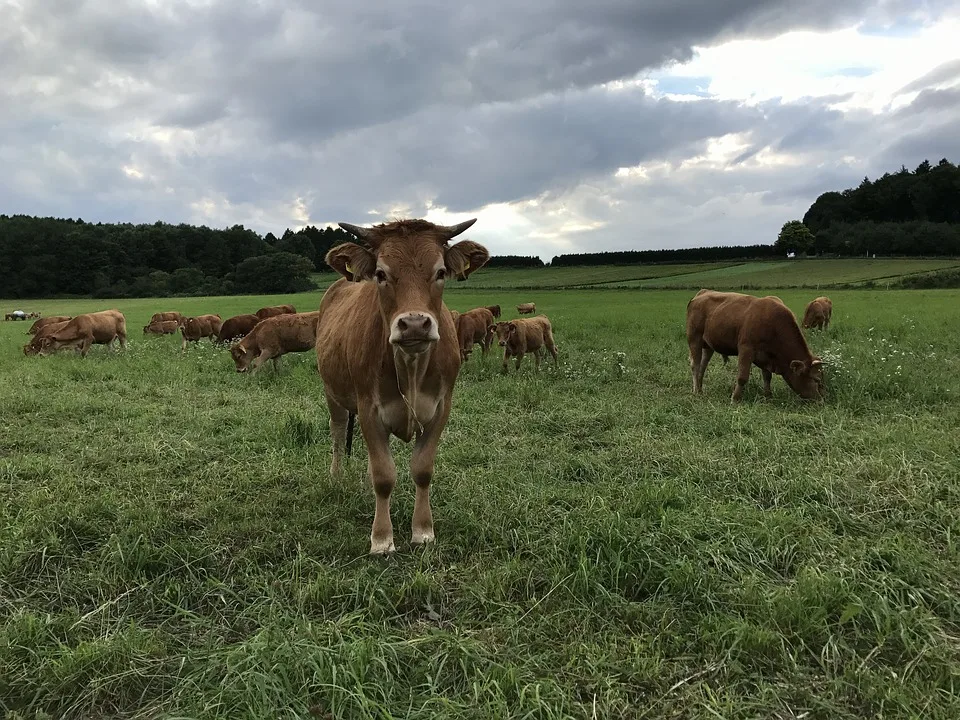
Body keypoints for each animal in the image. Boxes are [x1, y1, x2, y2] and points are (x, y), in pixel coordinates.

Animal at [316, 217, 489, 554]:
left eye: (441, 272)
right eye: (381, 274)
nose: (414, 324)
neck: (411, 367)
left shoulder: (441, 408)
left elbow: (422, 470)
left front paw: (423, 531)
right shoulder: (369, 408)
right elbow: (384, 476)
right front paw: (382, 538)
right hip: (333, 393)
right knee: (338, 431)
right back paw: (336, 477)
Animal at [686, 289, 824, 402]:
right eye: (816, 380)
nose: (821, 400)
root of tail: (702, 293)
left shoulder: (766, 355)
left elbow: (767, 376)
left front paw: (768, 396)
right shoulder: (746, 349)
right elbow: (742, 377)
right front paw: (735, 399)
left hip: (708, 345)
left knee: (703, 366)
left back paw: (700, 389)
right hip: (694, 339)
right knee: (695, 365)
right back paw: (696, 391)